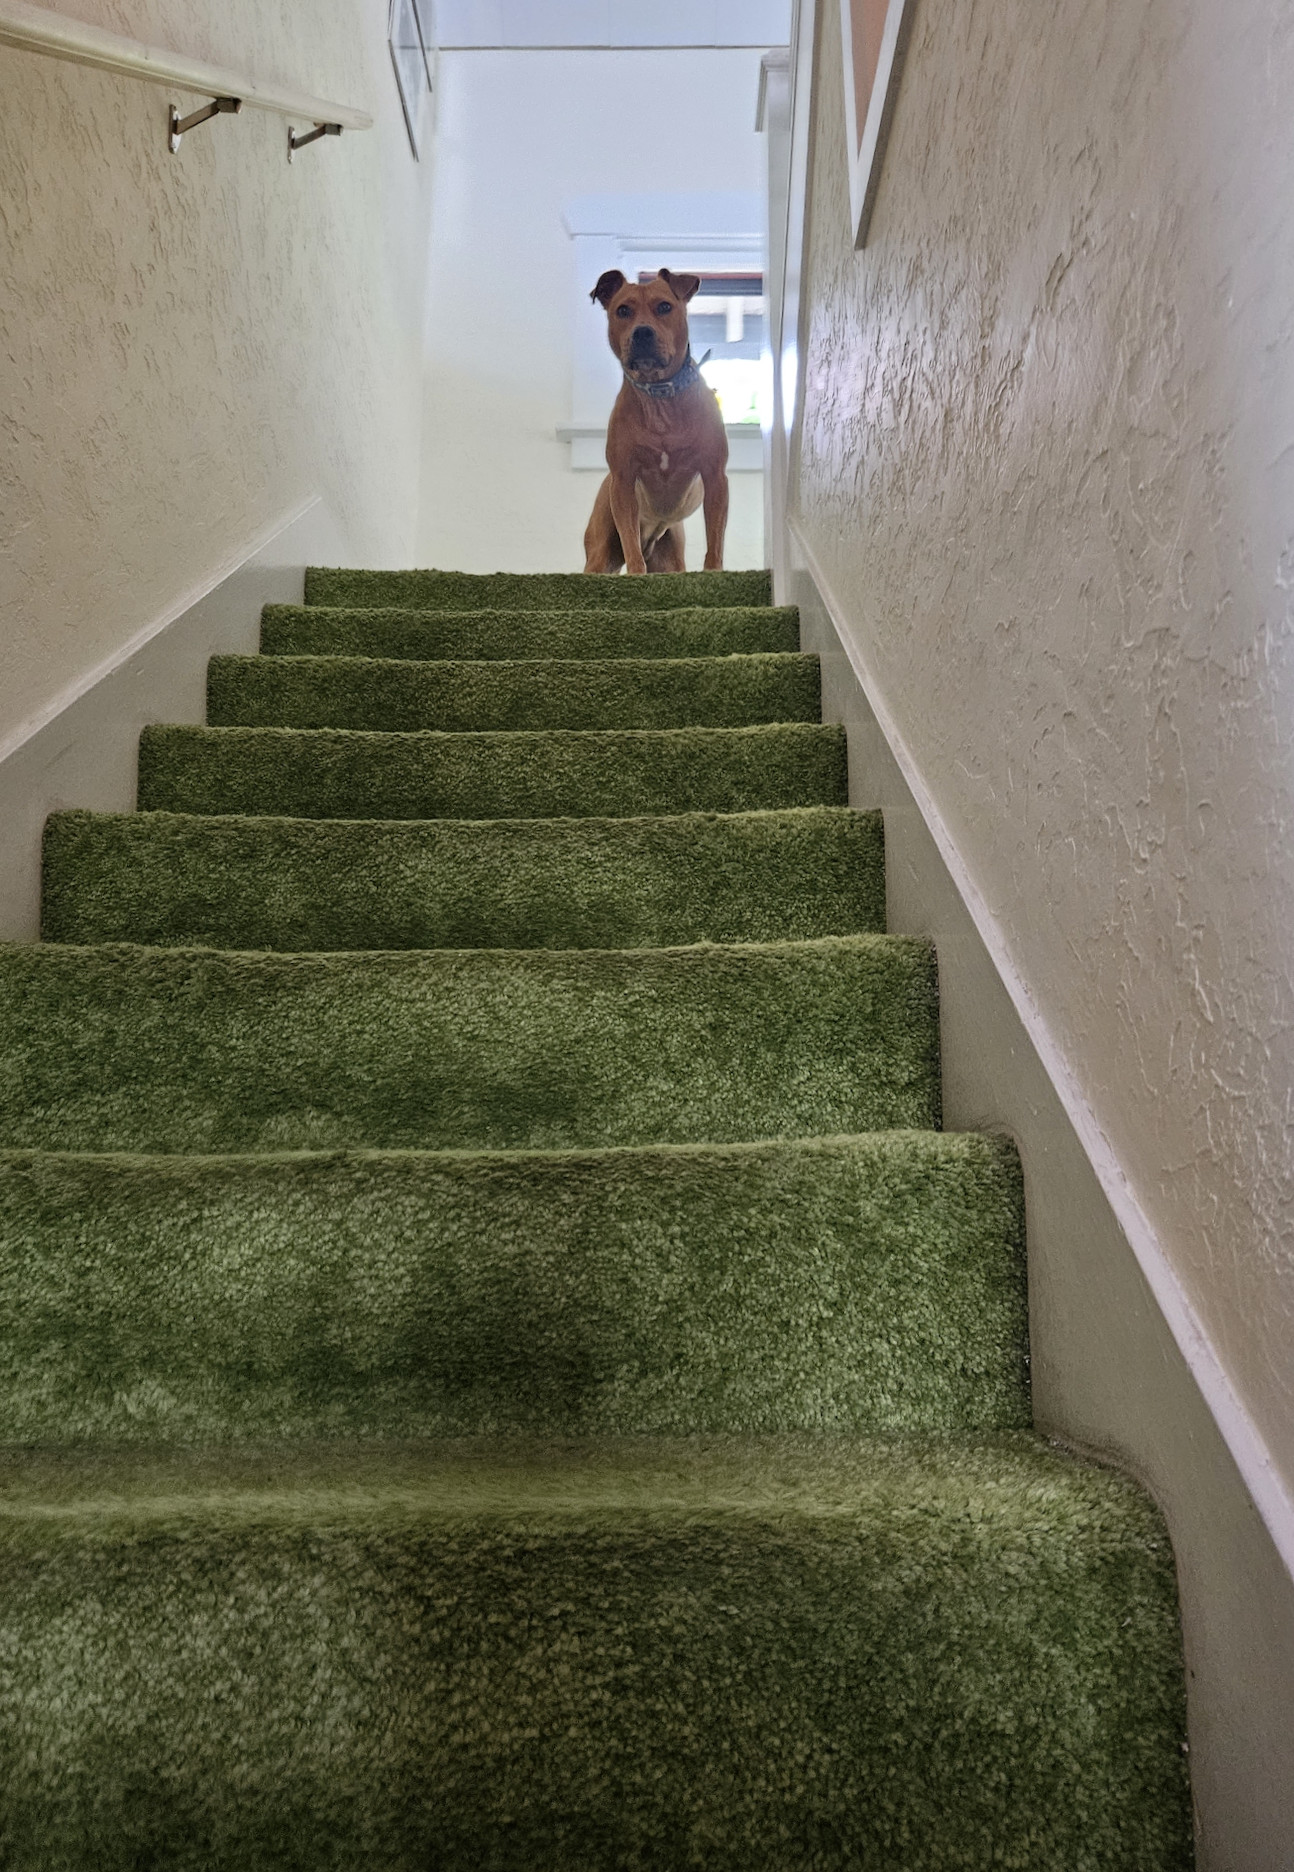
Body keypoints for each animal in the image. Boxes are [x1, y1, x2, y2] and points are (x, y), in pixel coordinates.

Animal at [584, 262, 730, 569]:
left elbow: (715, 544)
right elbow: (632, 549)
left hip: (670, 557)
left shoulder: (715, 476)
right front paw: (636, 573)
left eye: (664, 306)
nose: (642, 332)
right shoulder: (623, 481)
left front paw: (714, 570)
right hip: (601, 551)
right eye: (622, 310)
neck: (658, 396)